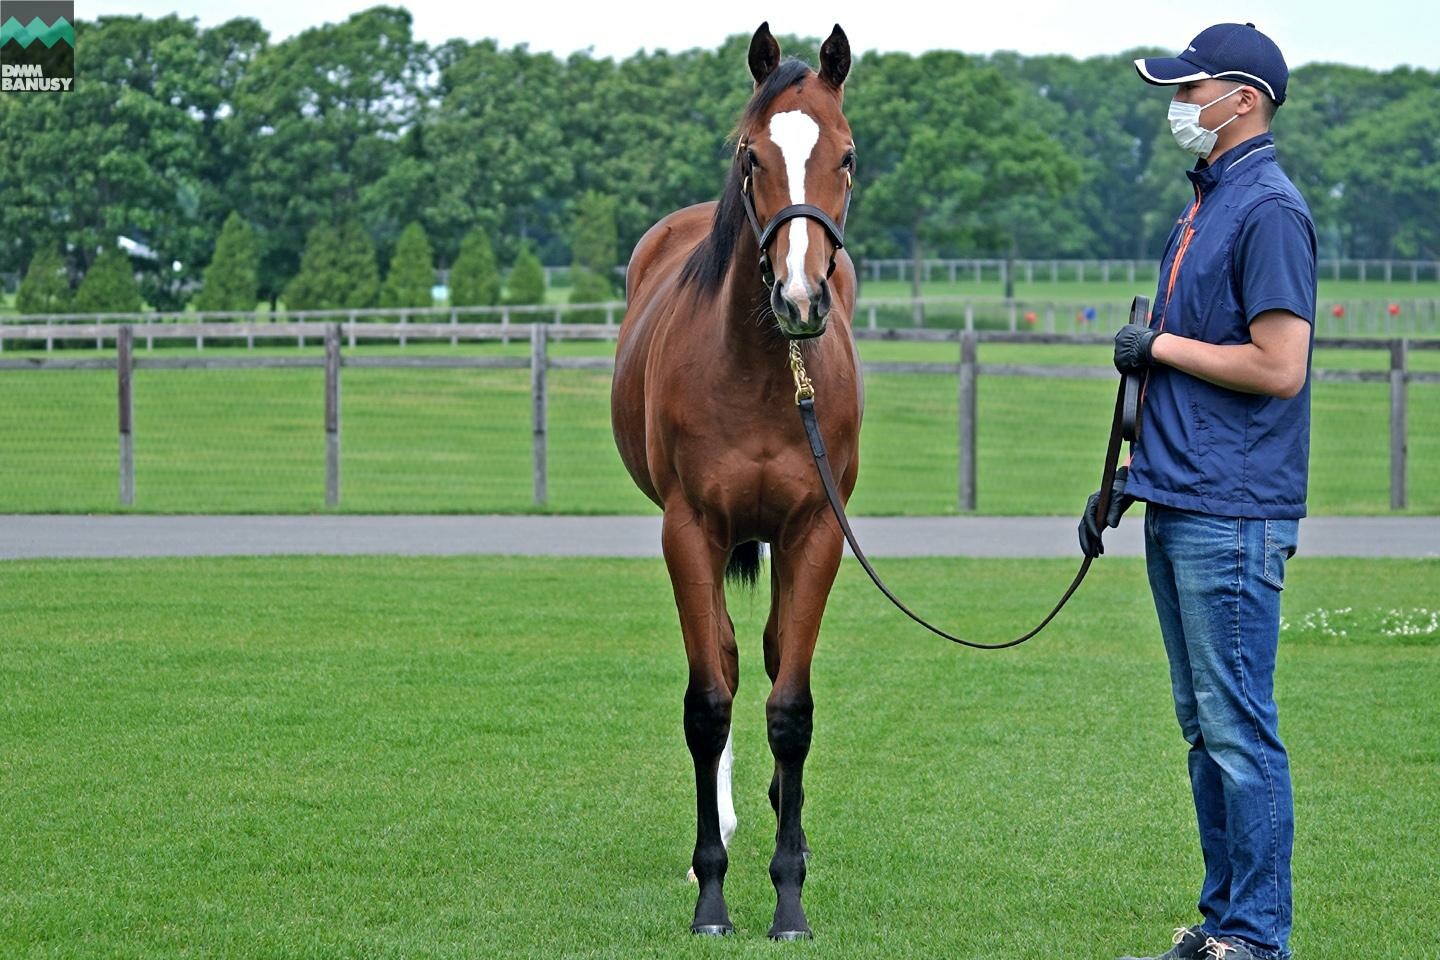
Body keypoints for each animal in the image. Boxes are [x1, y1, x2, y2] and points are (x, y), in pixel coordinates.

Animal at [610, 24, 858, 944]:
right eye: (752, 157)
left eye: (847, 156)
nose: (799, 297)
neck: (762, 373)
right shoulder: (689, 531)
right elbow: (709, 701)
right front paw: (713, 893)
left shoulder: (816, 531)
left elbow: (791, 706)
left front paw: (789, 897)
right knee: (725, 664)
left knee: (776, 656)